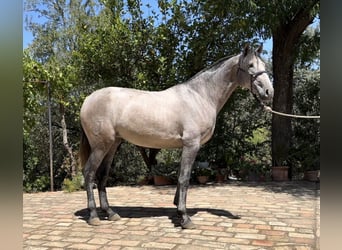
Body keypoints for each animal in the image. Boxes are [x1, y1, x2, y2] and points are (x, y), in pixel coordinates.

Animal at [79, 44, 272, 229]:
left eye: (263, 65)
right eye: (250, 65)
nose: (269, 92)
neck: (200, 96)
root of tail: (88, 99)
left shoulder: (185, 147)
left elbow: (180, 177)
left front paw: (178, 211)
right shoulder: (191, 145)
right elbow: (184, 179)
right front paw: (185, 218)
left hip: (112, 145)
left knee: (103, 175)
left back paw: (110, 213)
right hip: (101, 146)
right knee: (89, 173)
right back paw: (94, 216)